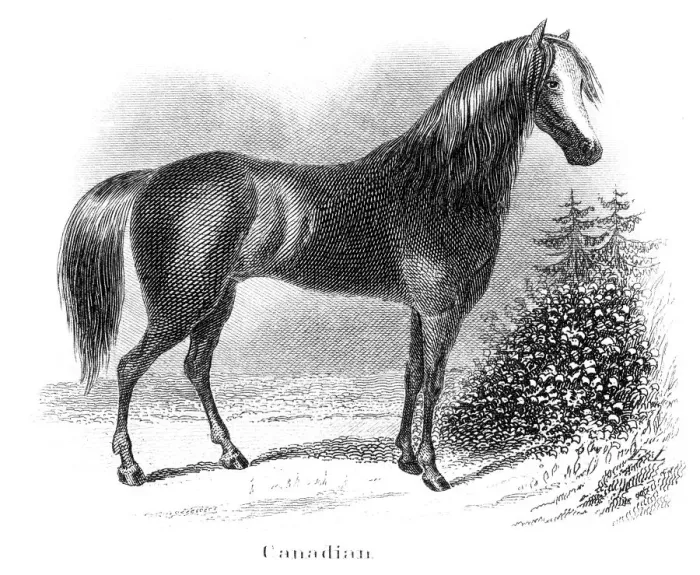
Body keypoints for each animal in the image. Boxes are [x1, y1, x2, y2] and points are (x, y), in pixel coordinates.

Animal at [58, 21, 602, 491]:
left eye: (583, 85)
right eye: (551, 81)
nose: (590, 151)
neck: (439, 185)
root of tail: (152, 178)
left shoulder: (418, 311)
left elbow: (412, 376)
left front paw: (405, 458)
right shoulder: (440, 311)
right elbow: (434, 382)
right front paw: (432, 471)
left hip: (216, 301)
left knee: (196, 368)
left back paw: (231, 453)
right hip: (180, 306)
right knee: (129, 367)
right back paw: (131, 467)